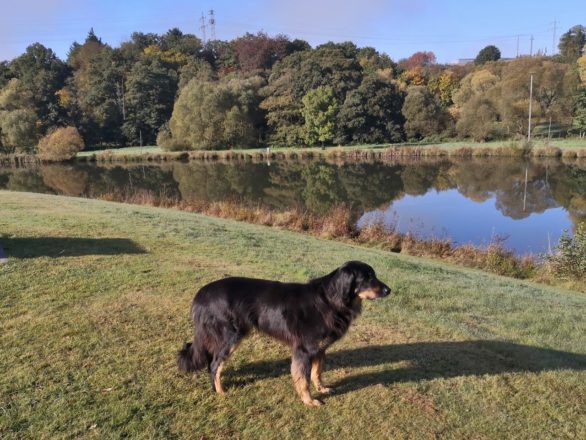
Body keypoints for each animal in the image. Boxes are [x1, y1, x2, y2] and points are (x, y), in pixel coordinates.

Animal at [176, 260, 390, 408]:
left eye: (373, 275)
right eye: (367, 277)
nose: (389, 290)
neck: (331, 299)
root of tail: (201, 294)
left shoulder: (319, 349)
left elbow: (317, 372)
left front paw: (322, 389)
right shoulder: (304, 351)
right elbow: (303, 379)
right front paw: (309, 401)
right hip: (231, 337)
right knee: (214, 364)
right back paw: (220, 391)